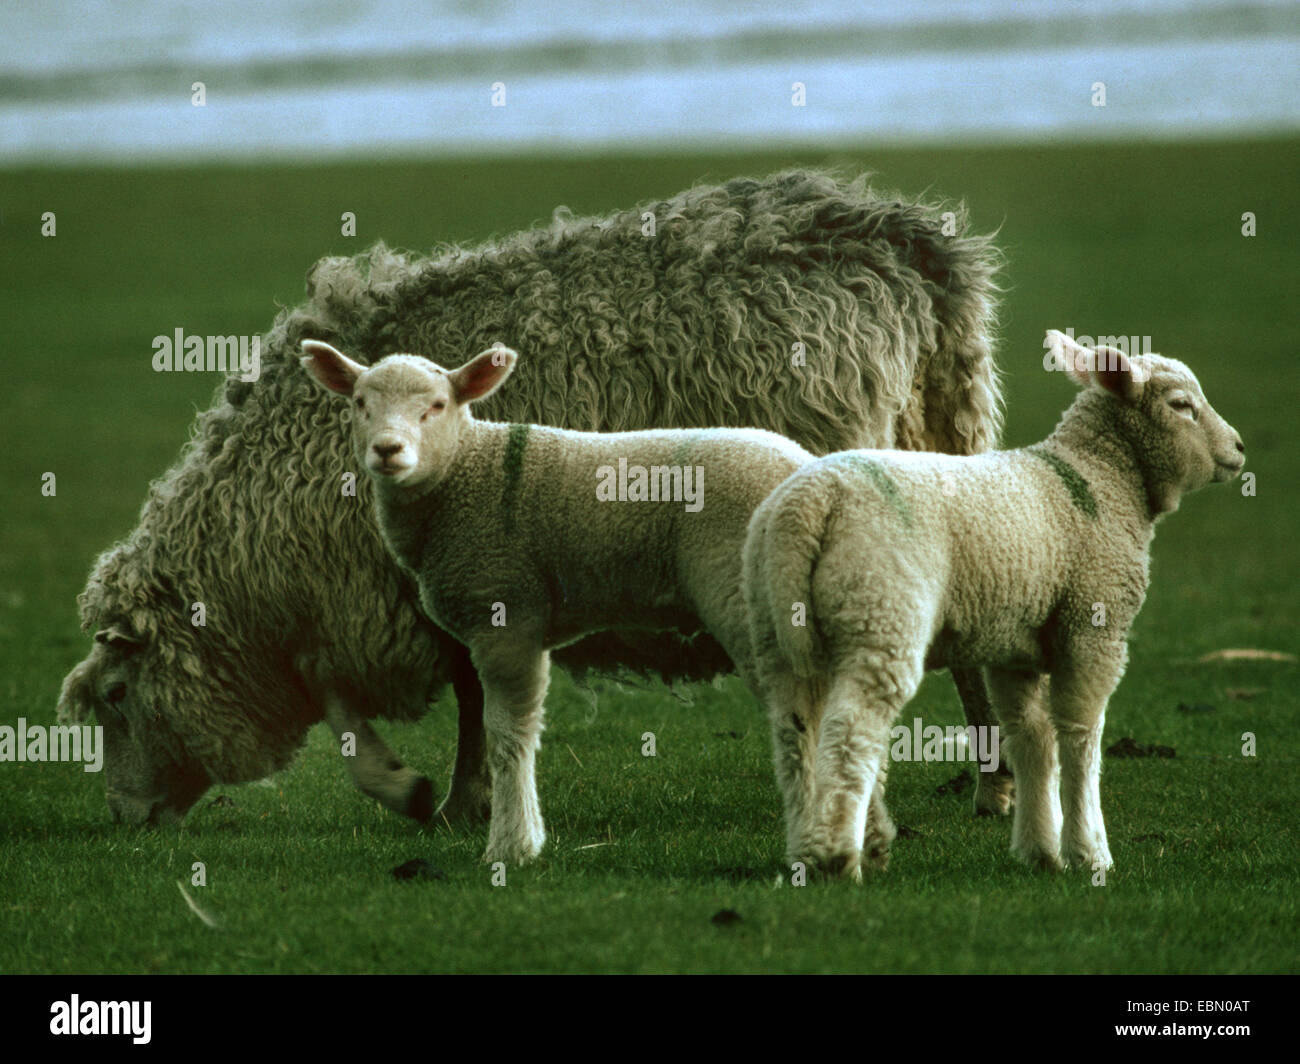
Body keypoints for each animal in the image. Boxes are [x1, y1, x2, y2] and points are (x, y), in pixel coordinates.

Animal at [302, 338, 811, 863]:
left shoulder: (506, 608)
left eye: (437, 406)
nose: (388, 450)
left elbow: (508, 734)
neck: (463, 471)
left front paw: (512, 846)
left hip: (745, 593)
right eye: (360, 404)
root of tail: (804, 467)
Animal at [743, 331, 1237, 879]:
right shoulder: (1092, 626)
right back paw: (837, 857)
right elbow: (1081, 737)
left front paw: (1040, 850)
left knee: (794, 735)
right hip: (880, 611)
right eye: (1181, 405)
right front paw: (1091, 852)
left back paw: (806, 850)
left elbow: (1031, 740)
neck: (1097, 482)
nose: (1238, 448)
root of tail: (809, 505)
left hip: (777, 628)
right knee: (851, 731)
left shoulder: (1014, 648)